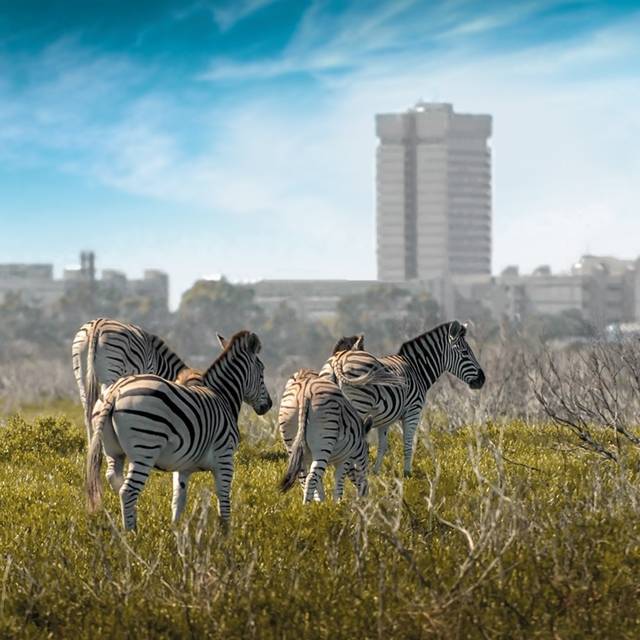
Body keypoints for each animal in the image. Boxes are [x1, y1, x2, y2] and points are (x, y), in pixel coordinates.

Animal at [86, 330, 272, 528]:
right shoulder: (225, 456)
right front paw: (225, 533)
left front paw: (174, 530)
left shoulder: (182, 466)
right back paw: (132, 533)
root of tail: (115, 392)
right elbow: (224, 500)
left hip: (112, 451)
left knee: (115, 479)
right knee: (128, 491)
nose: (269, 405)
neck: (223, 397)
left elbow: (178, 500)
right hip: (145, 449)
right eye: (262, 371)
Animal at [320, 320, 484, 476]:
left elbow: (382, 447)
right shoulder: (413, 412)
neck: (417, 370)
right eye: (465, 353)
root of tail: (338, 360)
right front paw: (407, 475)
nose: (482, 379)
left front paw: (376, 474)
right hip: (359, 406)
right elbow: (408, 444)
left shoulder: (384, 420)